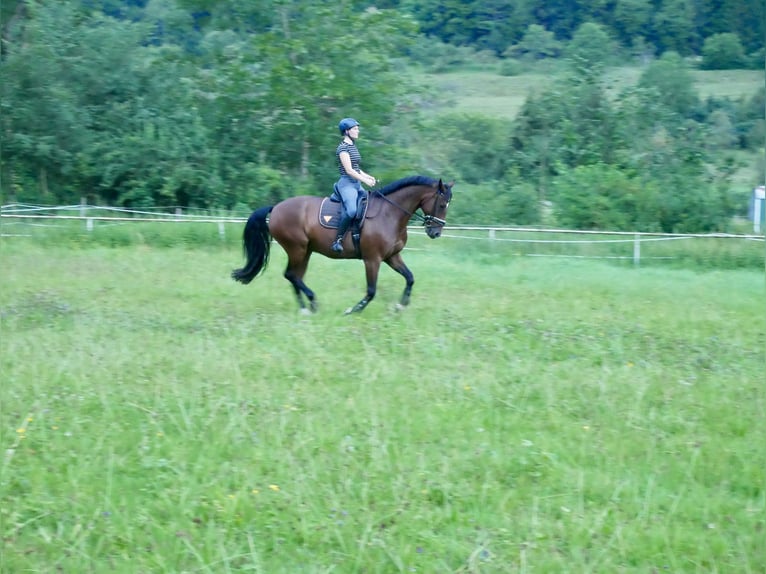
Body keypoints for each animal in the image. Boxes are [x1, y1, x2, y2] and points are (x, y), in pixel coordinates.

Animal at [231, 176, 452, 316]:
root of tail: (276, 207)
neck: (390, 213)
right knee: (291, 275)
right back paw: (312, 302)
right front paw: (352, 311)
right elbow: (371, 291)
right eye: (442, 205)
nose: (435, 233)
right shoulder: (372, 259)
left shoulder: (392, 256)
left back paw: (305, 308)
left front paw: (400, 306)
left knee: (295, 276)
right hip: (297, 249)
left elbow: (410, 278)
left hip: (305, 251)